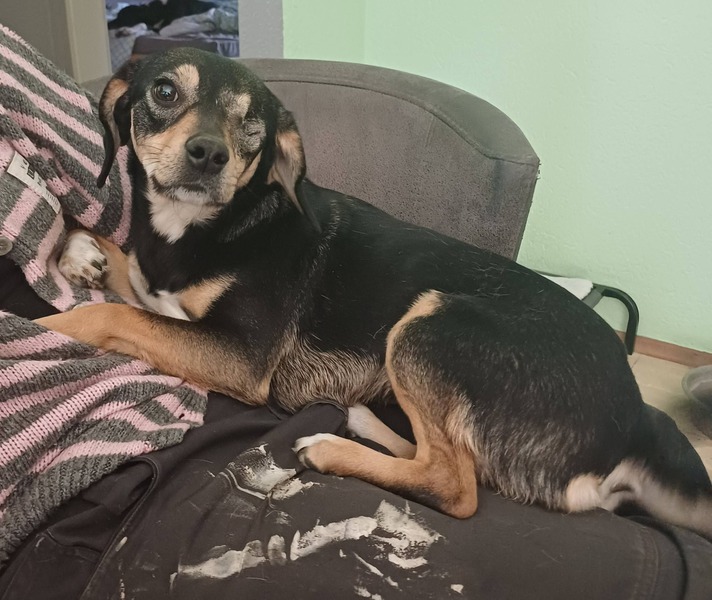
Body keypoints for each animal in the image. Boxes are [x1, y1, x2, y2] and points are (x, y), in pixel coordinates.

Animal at [37, 48, 712, 535]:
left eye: (252, 122)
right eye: (164, 91)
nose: (208, 154)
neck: (200, 228)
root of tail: (633, 419)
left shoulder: (241, 356)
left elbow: (113, 319)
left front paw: (44, 330)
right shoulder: (155, 285)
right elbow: (115, 265)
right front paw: (78, 252)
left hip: (428, 324)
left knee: (457, 486)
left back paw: (332, 450)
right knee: (448, 459)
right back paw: (361, 419)